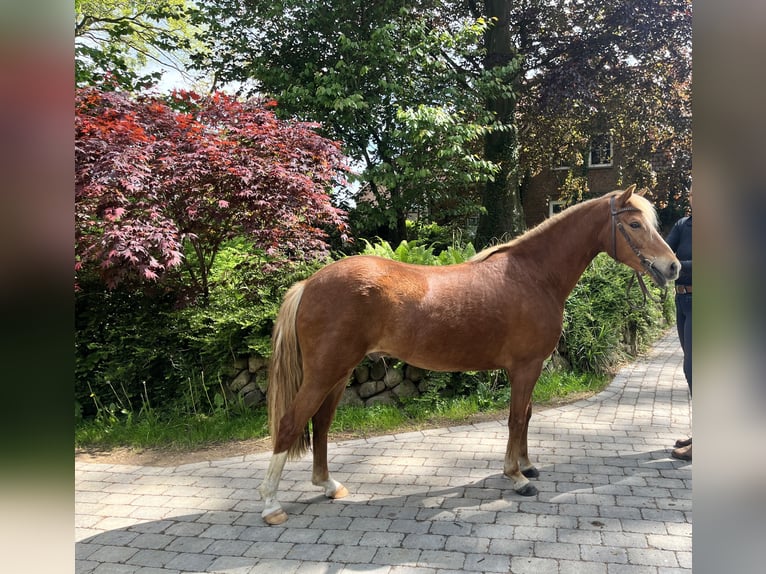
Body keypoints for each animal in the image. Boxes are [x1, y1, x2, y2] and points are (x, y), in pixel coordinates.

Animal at [258, 185, 680, 525]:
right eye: (635, 224)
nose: (673, 266)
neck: (534, 275)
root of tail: (309, 283)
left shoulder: (529, 369)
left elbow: (526, 417)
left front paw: (528, 465)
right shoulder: (525, 368)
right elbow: (515, 419)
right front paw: (516, 477)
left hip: (339, 372)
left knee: (321, 424)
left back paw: (329, 485)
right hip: (325, 371)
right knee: (291, 423)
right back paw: (271, 505)